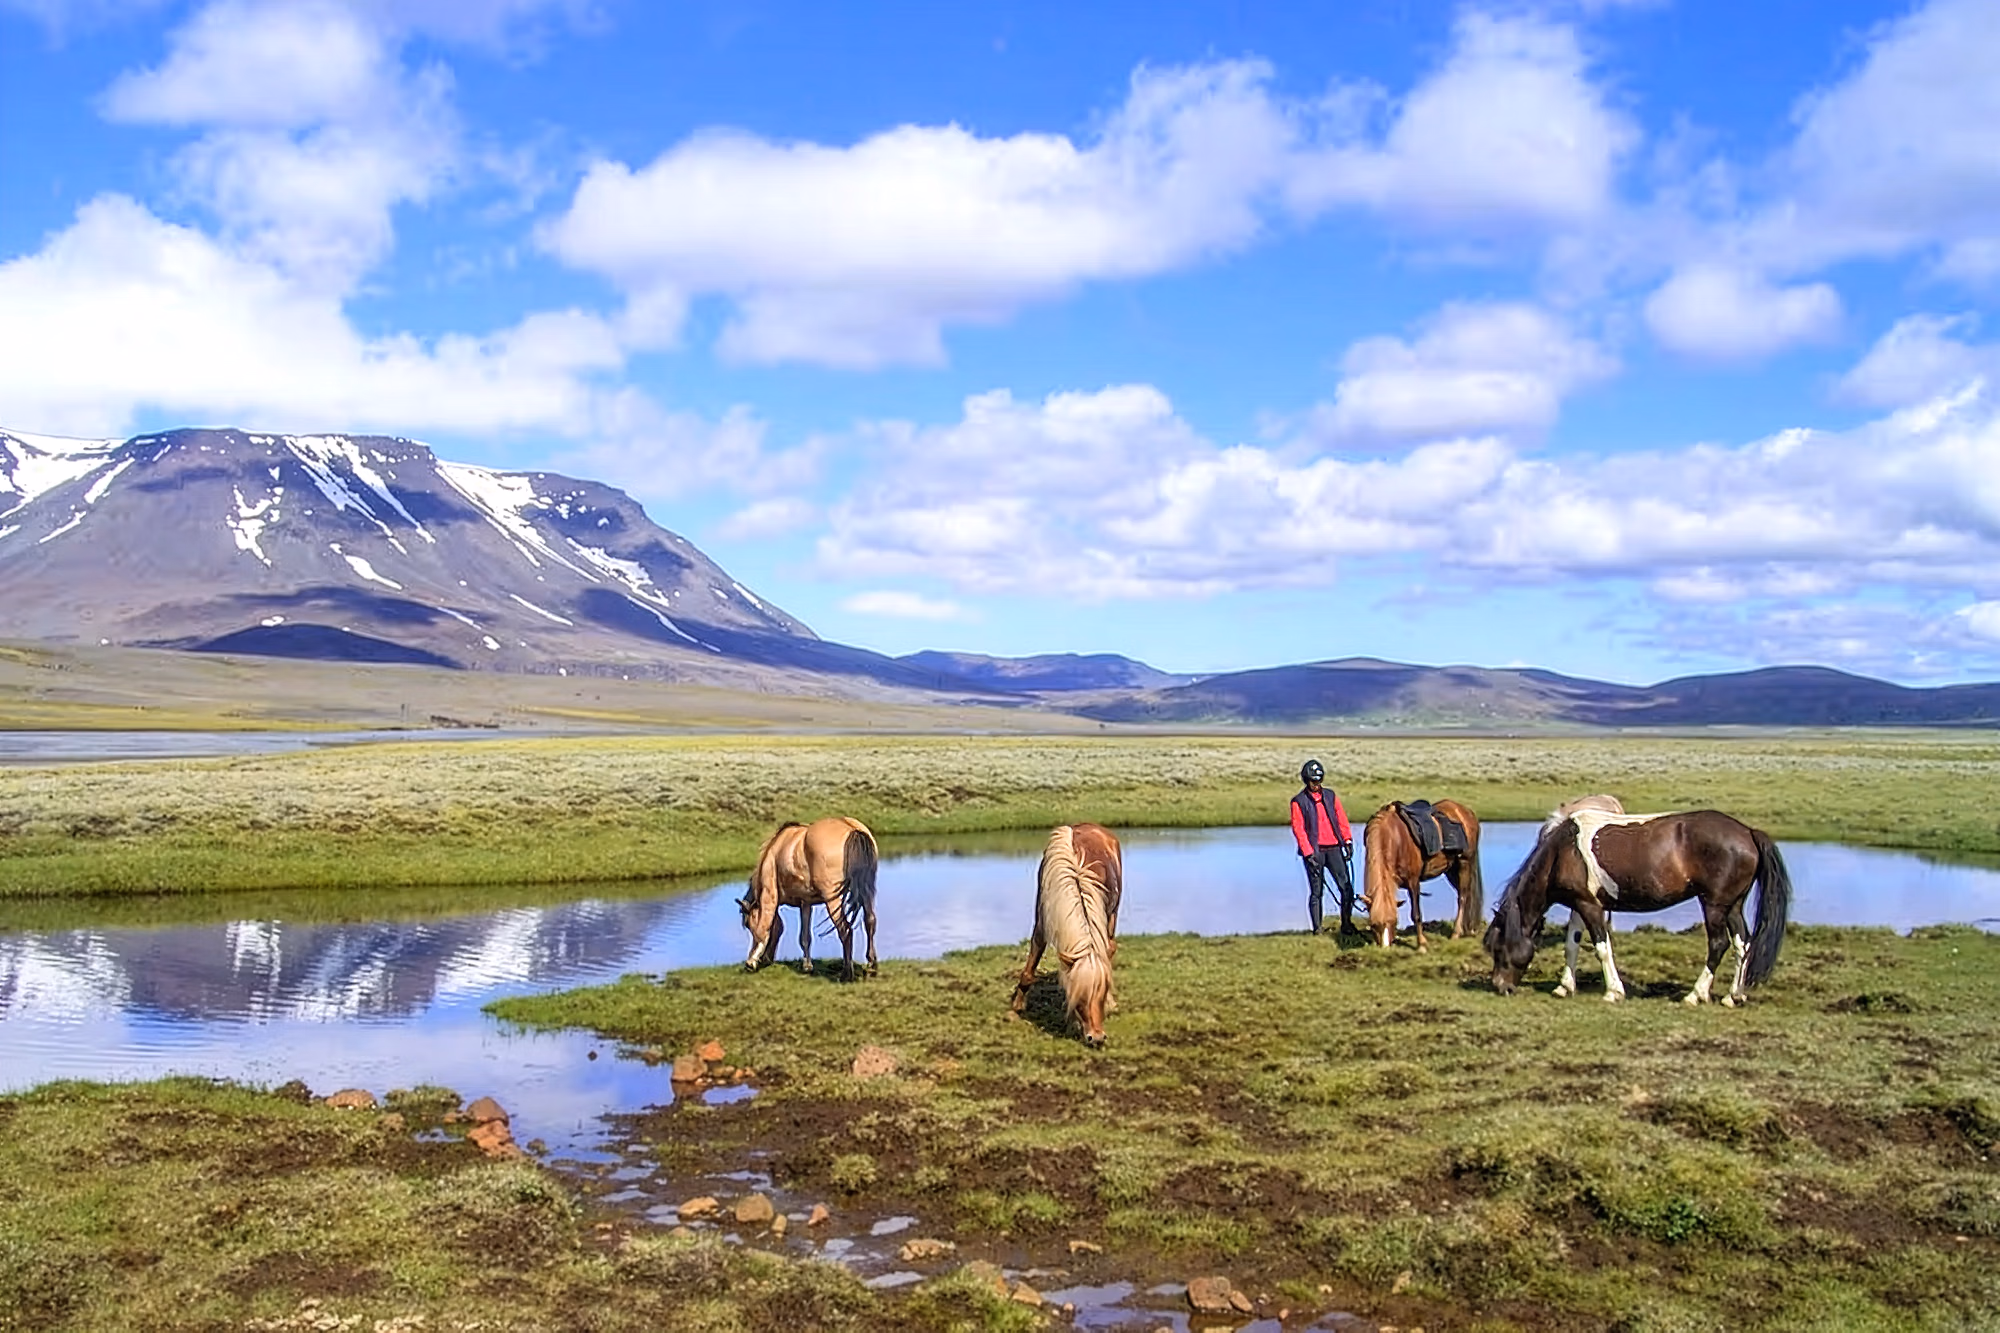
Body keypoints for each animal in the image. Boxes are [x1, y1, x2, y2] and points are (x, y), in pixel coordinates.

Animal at [737, 817, 879, 982]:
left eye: (748, 924)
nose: (749, 964)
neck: (775, 849)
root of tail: (853, 830)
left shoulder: (770, 895)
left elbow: (771, 927)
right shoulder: (806, 902)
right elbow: (803, 936)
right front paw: (807, 966)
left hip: (833, 899)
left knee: (845, 930)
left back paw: (846, 974)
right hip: (866, 891)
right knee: (870, 921)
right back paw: (871, 967)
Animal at [1009, 823, 1123, 1047]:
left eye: (1101, 992)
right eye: (1080, 997)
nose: (1096, 1037)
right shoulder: (1042, 923)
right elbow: (1029, 969)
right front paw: (1016, 1007)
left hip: (1113, 914)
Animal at [1360, 799, 1483, 951]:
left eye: (1394, 922)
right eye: (1373, 925)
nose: (1386, 948)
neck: (1395, 839)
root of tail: (1465, 811)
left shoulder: (1413, 881)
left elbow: (1416, 914)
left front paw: (1422, 945)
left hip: (1464, 863)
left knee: (1463, 897)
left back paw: (1456, 933)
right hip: (1451, 869)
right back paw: (1469, 929)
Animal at [1486, 809, 1791, 1005]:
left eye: (1499, 948)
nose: (1500, 987)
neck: (1563, 850)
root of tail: (1748, 833)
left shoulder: (1590, 906)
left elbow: (1602, 948)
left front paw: (1613, 991)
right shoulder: (1580, 904)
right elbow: (1571, 945)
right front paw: (1564, 987)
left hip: (1714, 905)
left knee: (1718, 945)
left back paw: (1695, 995)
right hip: (1733, 907)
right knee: (1743, 945)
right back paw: (1733, 995)